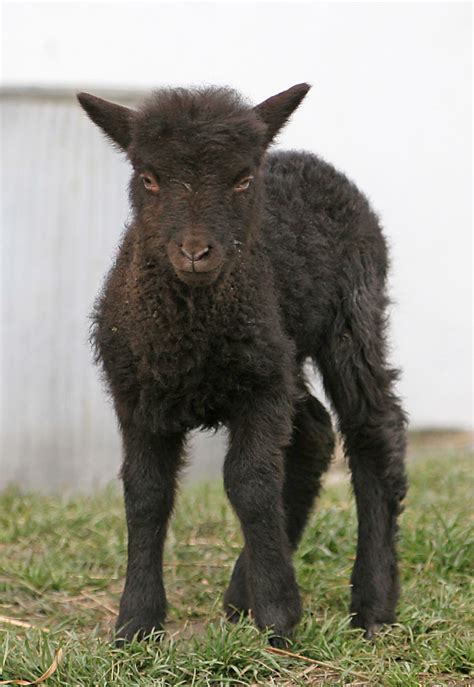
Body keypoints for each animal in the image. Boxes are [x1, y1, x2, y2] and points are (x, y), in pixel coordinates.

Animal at [77, 83, 408, 648]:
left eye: (242, 179)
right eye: (148, 177)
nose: (195, 252)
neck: (190, 334)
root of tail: (307, 159)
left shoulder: (261, 392)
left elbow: (250, 484)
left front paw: (277, 617)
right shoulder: (136, 395)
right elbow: (145, 493)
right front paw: (136, 626)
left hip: (351, 314)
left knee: (372, 431)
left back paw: (372, 604)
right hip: (280, 353)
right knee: (314, 433)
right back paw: (240, 593)